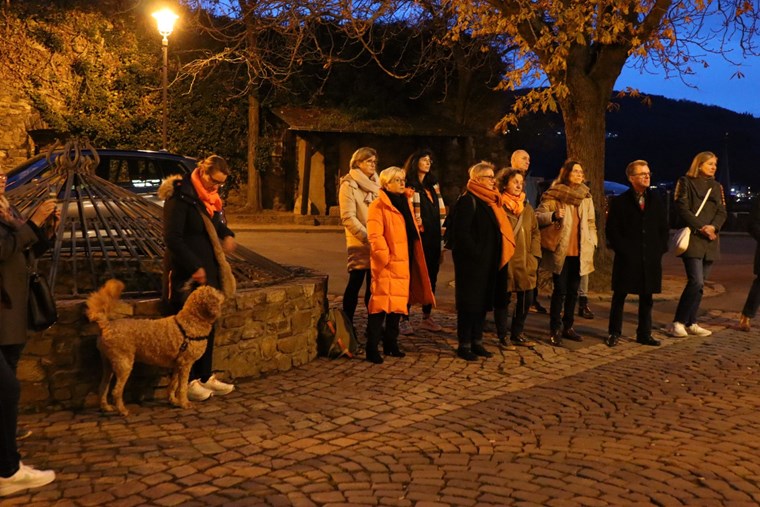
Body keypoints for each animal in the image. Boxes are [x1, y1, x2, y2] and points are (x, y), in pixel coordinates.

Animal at [85, 278, 224, 416]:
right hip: (124, 364)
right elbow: (182, 387)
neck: (191, 322)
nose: (223, 293)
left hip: (108, 364)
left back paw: (106, 407)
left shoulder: (177, 364)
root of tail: (106, 325)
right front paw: (184, 403)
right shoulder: (185, 364)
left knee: (103, 386)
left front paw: (173, 401)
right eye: (215, 292)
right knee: (116, 391)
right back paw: (122, 410)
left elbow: (173, 384)